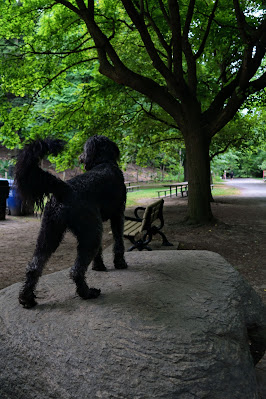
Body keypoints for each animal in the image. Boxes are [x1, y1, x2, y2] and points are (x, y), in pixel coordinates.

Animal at [15, 135, 128, 310]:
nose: (80, 157)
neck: (104, 161)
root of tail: (65, 188)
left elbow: (101, 250)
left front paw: (99, 266)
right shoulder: (118, 215)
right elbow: (118, 242)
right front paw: (120, 263)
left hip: (49, 235)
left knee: (34, 267)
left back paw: (27, 299)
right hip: (91, 233)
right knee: (76, 270)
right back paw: (87, 293)